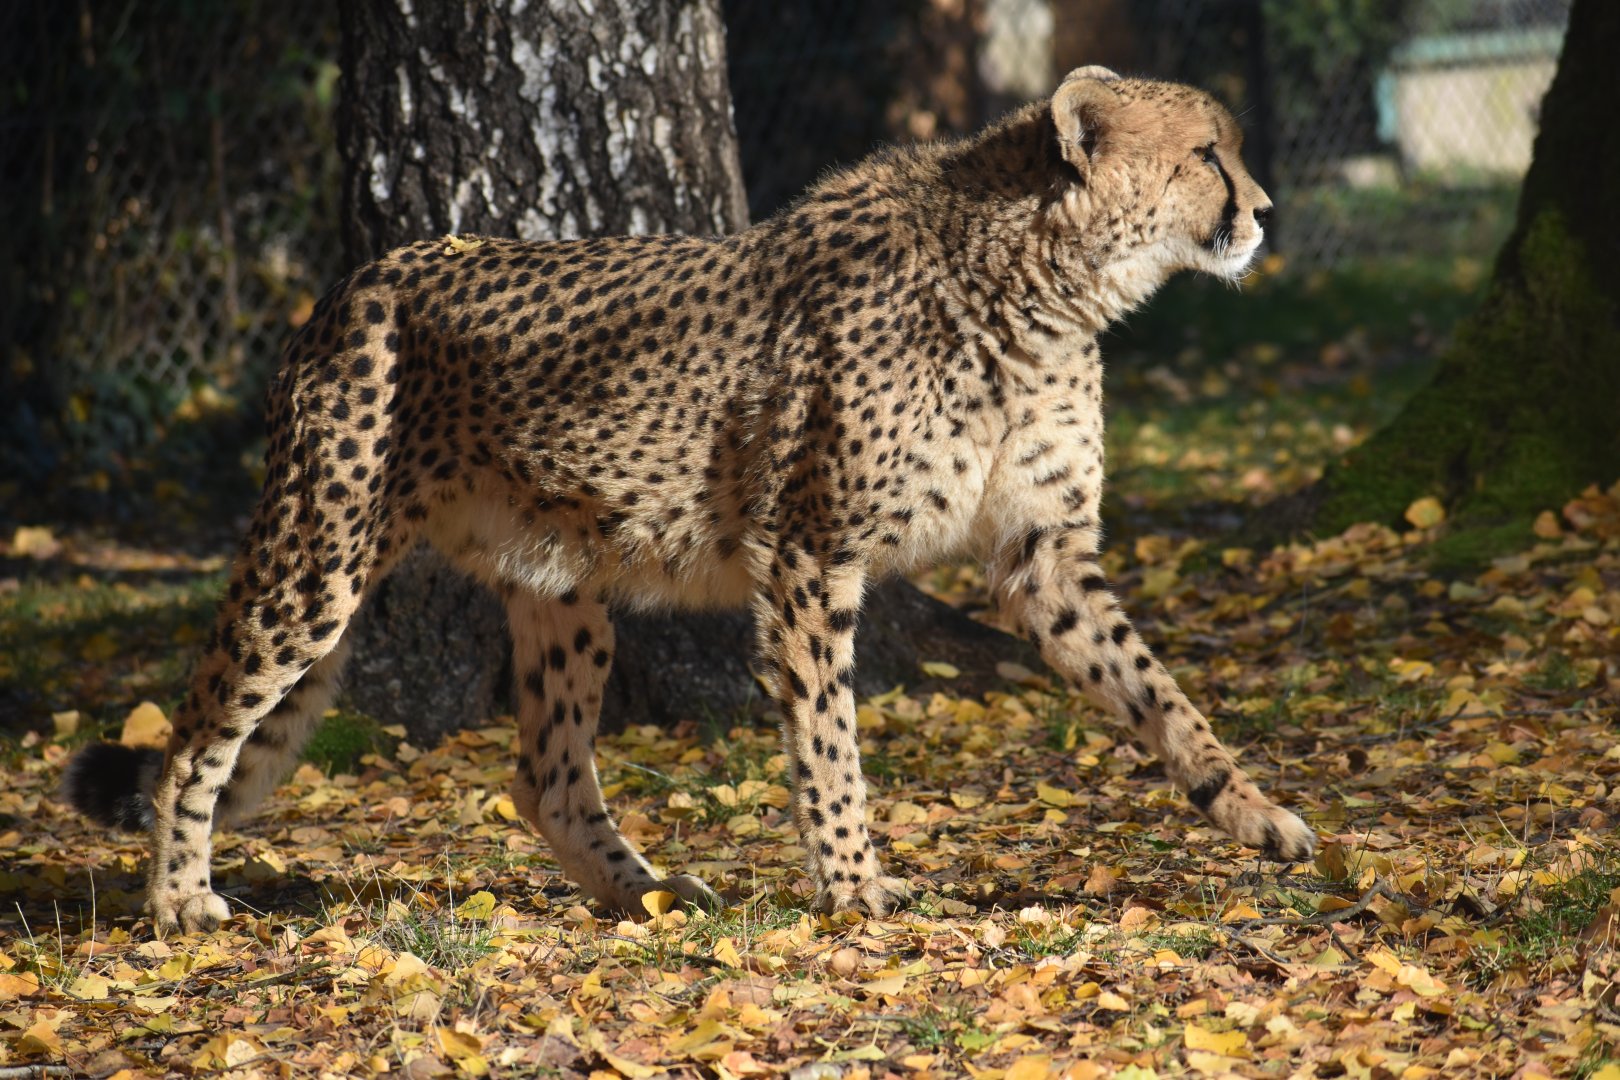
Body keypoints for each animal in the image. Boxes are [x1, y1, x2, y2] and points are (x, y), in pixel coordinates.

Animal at [64, 66, 1317, 935]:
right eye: (1208, 153)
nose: (1266, 212)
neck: (1040, 285)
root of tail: (360, 278)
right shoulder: (810, 548)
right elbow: (828, 735)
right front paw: (855, 887)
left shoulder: (1040, 550)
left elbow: (1160, 695)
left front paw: (1256, 813)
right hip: (320, 551)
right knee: (198, 731)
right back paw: (177, 903)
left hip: (559, 585)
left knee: (545, 775)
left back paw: (648, 892)